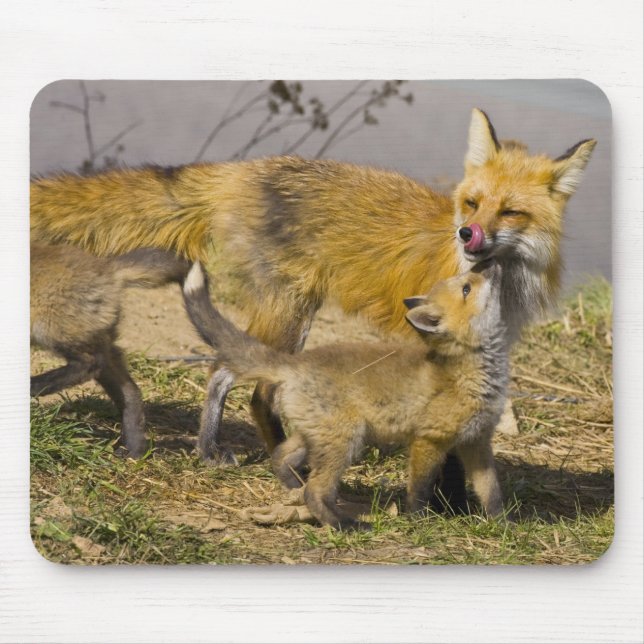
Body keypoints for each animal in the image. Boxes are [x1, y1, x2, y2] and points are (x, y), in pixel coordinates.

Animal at [30, 243, 190, 457]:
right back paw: (134, 450)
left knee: (89, 364)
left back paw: (34, 386)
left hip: (52, 331)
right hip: (101, 346)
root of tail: (108, 268)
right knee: (130, 391)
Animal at [182, 258, 508, 528]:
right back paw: (343, 524)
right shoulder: (429, 440)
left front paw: (503, 524)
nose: (488, 261)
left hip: (319, 436)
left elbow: (491, 492)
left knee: (281, 457)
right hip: (347, 439)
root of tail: (294, 363)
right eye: (467, 287)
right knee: (315, 491)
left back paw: (293, 488)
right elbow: (419, 489)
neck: (471, 373)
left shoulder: (477, 441)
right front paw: (418, 520)